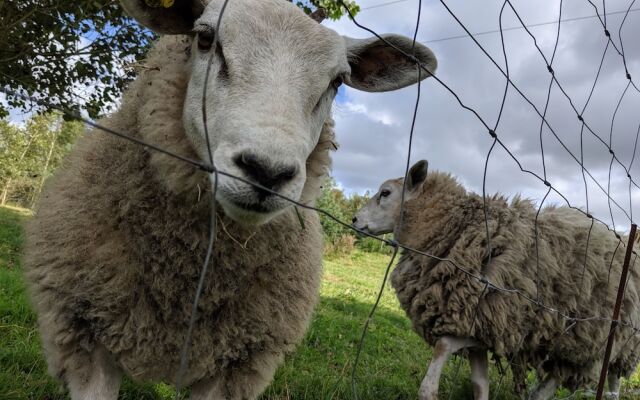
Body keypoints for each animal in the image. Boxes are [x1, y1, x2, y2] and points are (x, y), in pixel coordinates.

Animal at [21, 1, 440, 398]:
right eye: (205, 38)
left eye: (337, 81)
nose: (267, 172)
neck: (184, 275)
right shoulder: (84, 340)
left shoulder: (238, 365)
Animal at [350, 160, 640, 400]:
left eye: (385, 193)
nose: (354, 219)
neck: (455, 228)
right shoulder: (481, 328)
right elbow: (480, 385)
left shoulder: (484, 319)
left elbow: (443, 346)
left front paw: (428, 391)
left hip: (598, 342)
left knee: (594, 381)